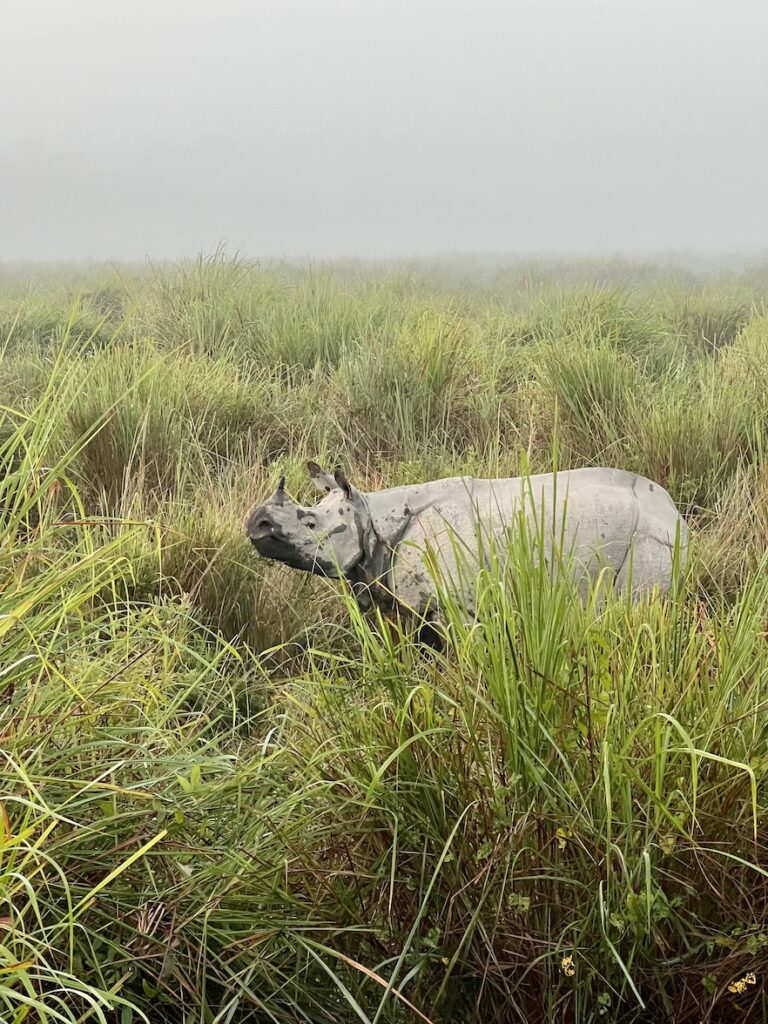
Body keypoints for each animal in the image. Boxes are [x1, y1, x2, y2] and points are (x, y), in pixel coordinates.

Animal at [245, 462, 688, 638]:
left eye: (311, 525)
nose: (256, 524)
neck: (368, 514)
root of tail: (675, 515)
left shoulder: (457, 607)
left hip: (647, 540)